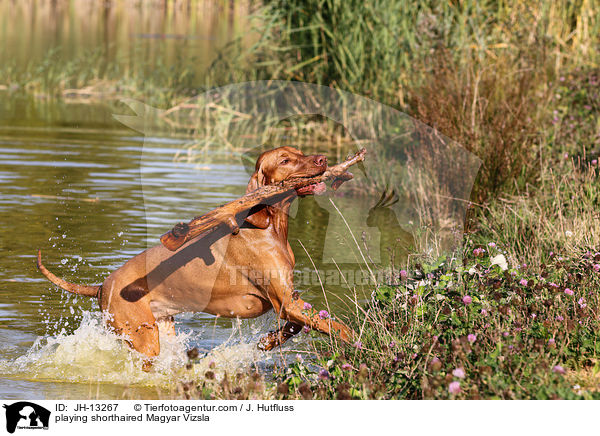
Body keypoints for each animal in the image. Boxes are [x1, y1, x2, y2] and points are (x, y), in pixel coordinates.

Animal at [37, 147, 354, 368]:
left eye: (300, 152)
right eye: (286, 160)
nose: (323, 159)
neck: (270, 227)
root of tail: (102, 286)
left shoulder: (288, 301)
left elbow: (298, 325)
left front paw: (267, 342)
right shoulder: (285, 301)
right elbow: (336, 325)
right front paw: (358, 341)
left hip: (161, 328)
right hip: (144, 340)